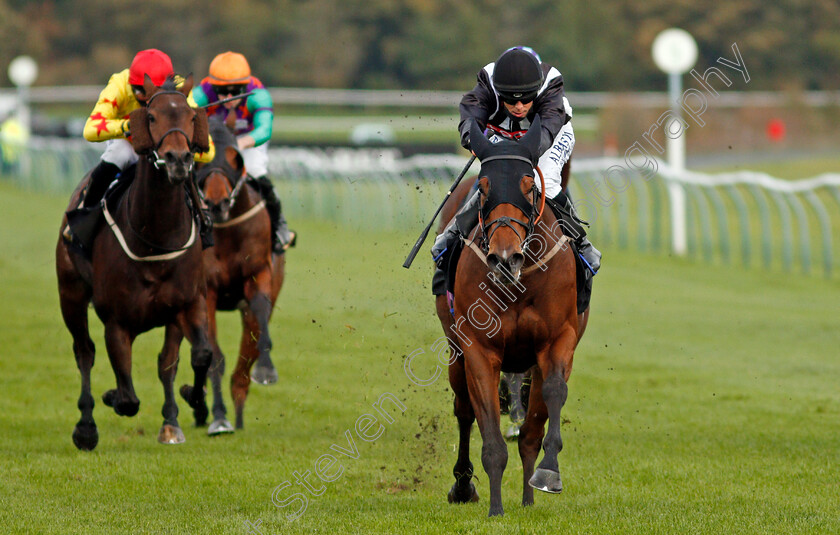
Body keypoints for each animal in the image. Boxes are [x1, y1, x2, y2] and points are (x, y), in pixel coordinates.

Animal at [56, 74, 213, 452]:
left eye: (191, 116)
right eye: (151, 117)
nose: (178, 159)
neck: (155, 235)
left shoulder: (189, 302)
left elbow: (197, 356)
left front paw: (190, 398)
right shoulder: (116, 320)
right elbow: (128, 398)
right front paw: (110, 397)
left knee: (165, 362)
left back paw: (171, 420)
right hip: (70, 294)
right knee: (84, 351)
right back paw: (86, 427)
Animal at [196, 118, 286, 436]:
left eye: (236, 158)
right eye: (201, 157)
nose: (217, 203)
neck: (228, 230)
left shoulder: (259, 273)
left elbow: (258, 316)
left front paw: (266, 369)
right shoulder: (206, 291)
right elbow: (213, 357)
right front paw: (219, 418)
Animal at [436, 117, 588, 516]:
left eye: (529, 187)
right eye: (484, 187)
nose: (505, 258)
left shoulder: (558, 340)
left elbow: (550, 399)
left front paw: (546, 476)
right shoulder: (478, 348)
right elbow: (488, 428)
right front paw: (495, 508)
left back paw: (528, 497)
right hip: (454, 349)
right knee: (463, 409)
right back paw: (463, 486)